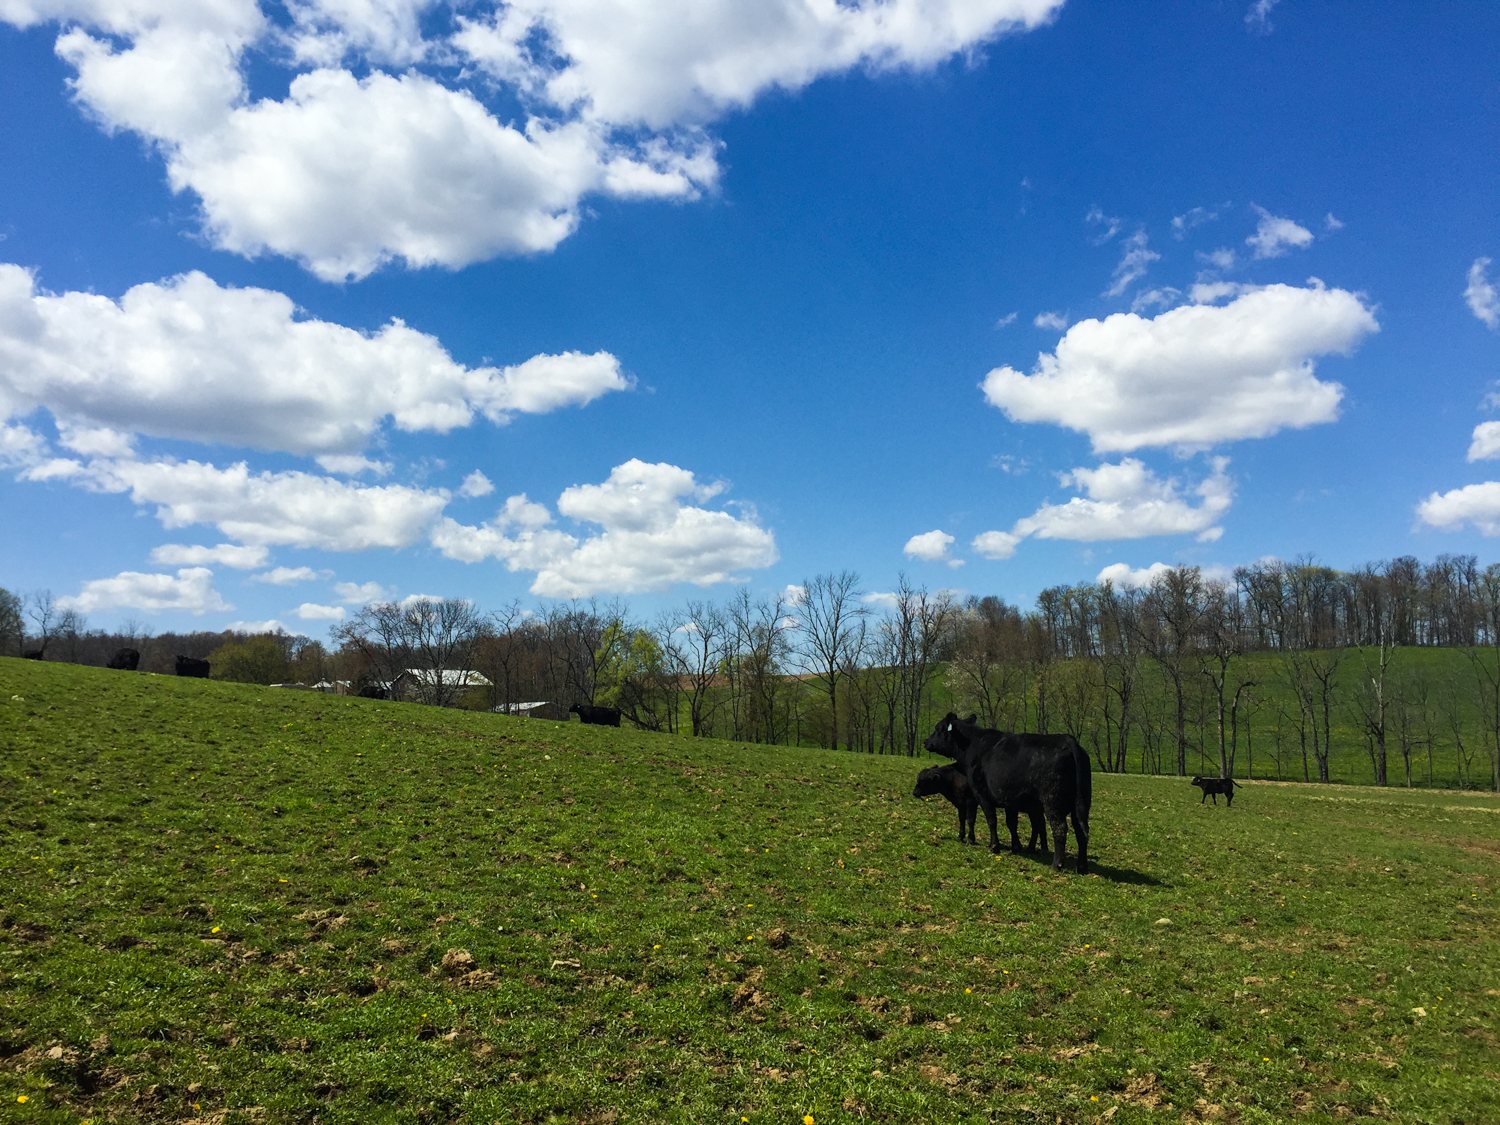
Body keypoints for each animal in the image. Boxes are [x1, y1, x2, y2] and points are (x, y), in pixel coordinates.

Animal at [912, 762, 1044, 852]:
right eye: (917, 779)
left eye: (923, 781)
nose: (914, 792)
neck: (954, 778)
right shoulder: (960, 804)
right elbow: (961, 819)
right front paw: (960, 836)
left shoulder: (971, 802)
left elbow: (970, 820)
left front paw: (971, 839)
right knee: (1038, 826)